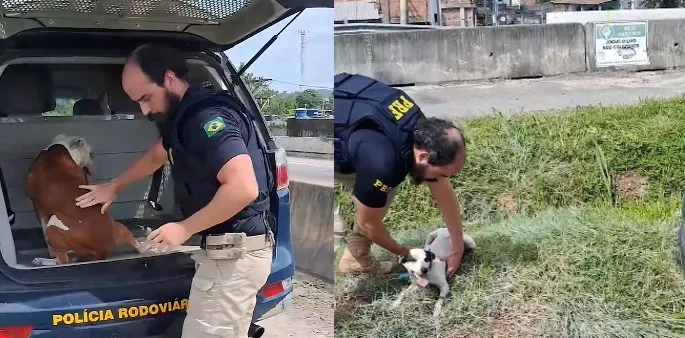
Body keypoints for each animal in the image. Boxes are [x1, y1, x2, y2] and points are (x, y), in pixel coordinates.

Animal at [26, 135, 147, 266]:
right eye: (91, 154)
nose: (95, 159)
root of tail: (104, 250)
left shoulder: (38, 208)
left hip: (53, 225)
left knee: (63, 261)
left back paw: (43, 260)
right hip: (120, 227)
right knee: (137, 245)